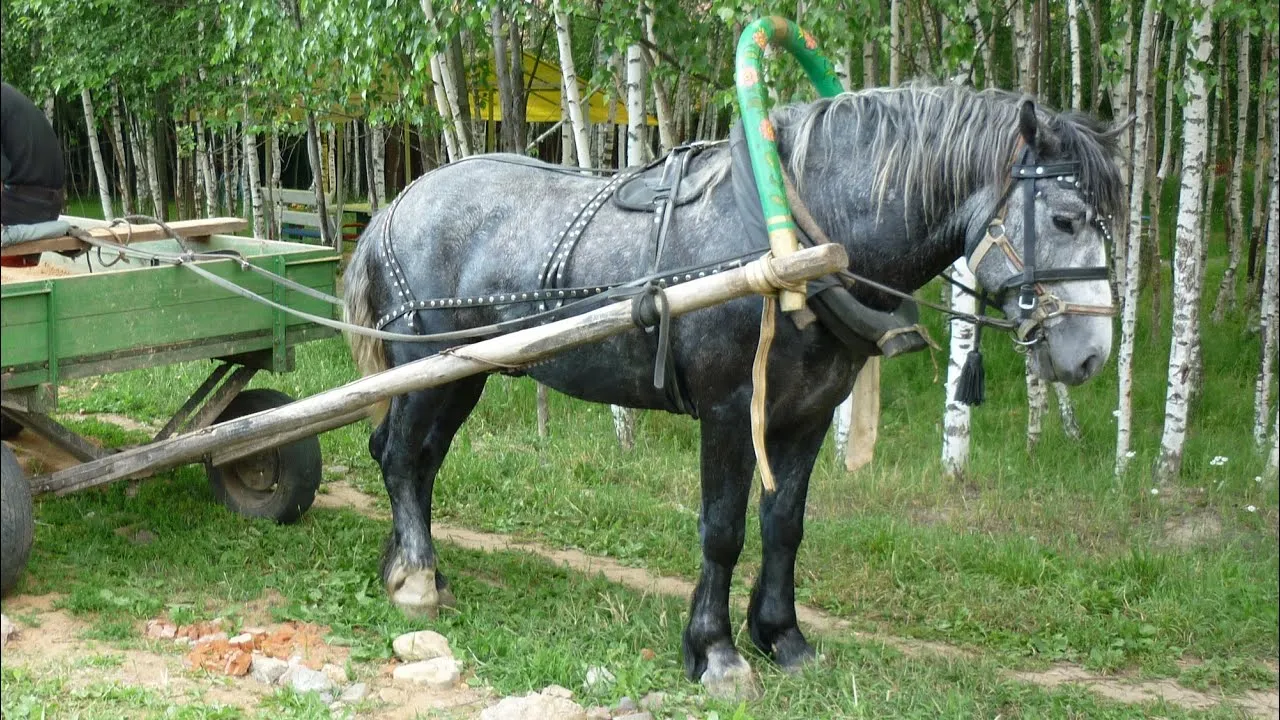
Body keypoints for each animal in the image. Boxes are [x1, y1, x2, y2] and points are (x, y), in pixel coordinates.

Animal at [345, 82, 1126, 691]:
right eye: (1065, 218)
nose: (1092, 357)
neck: (791, 244)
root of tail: (396, 203)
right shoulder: (729, 410)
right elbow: (722, 529)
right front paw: (715, 651)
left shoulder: (808, 414)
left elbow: (785, 526)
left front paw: (783, 637)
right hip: (430, 368)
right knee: (400, 457)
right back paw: (416, 579)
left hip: (460, 373)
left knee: (414, 458)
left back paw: (408, 565)